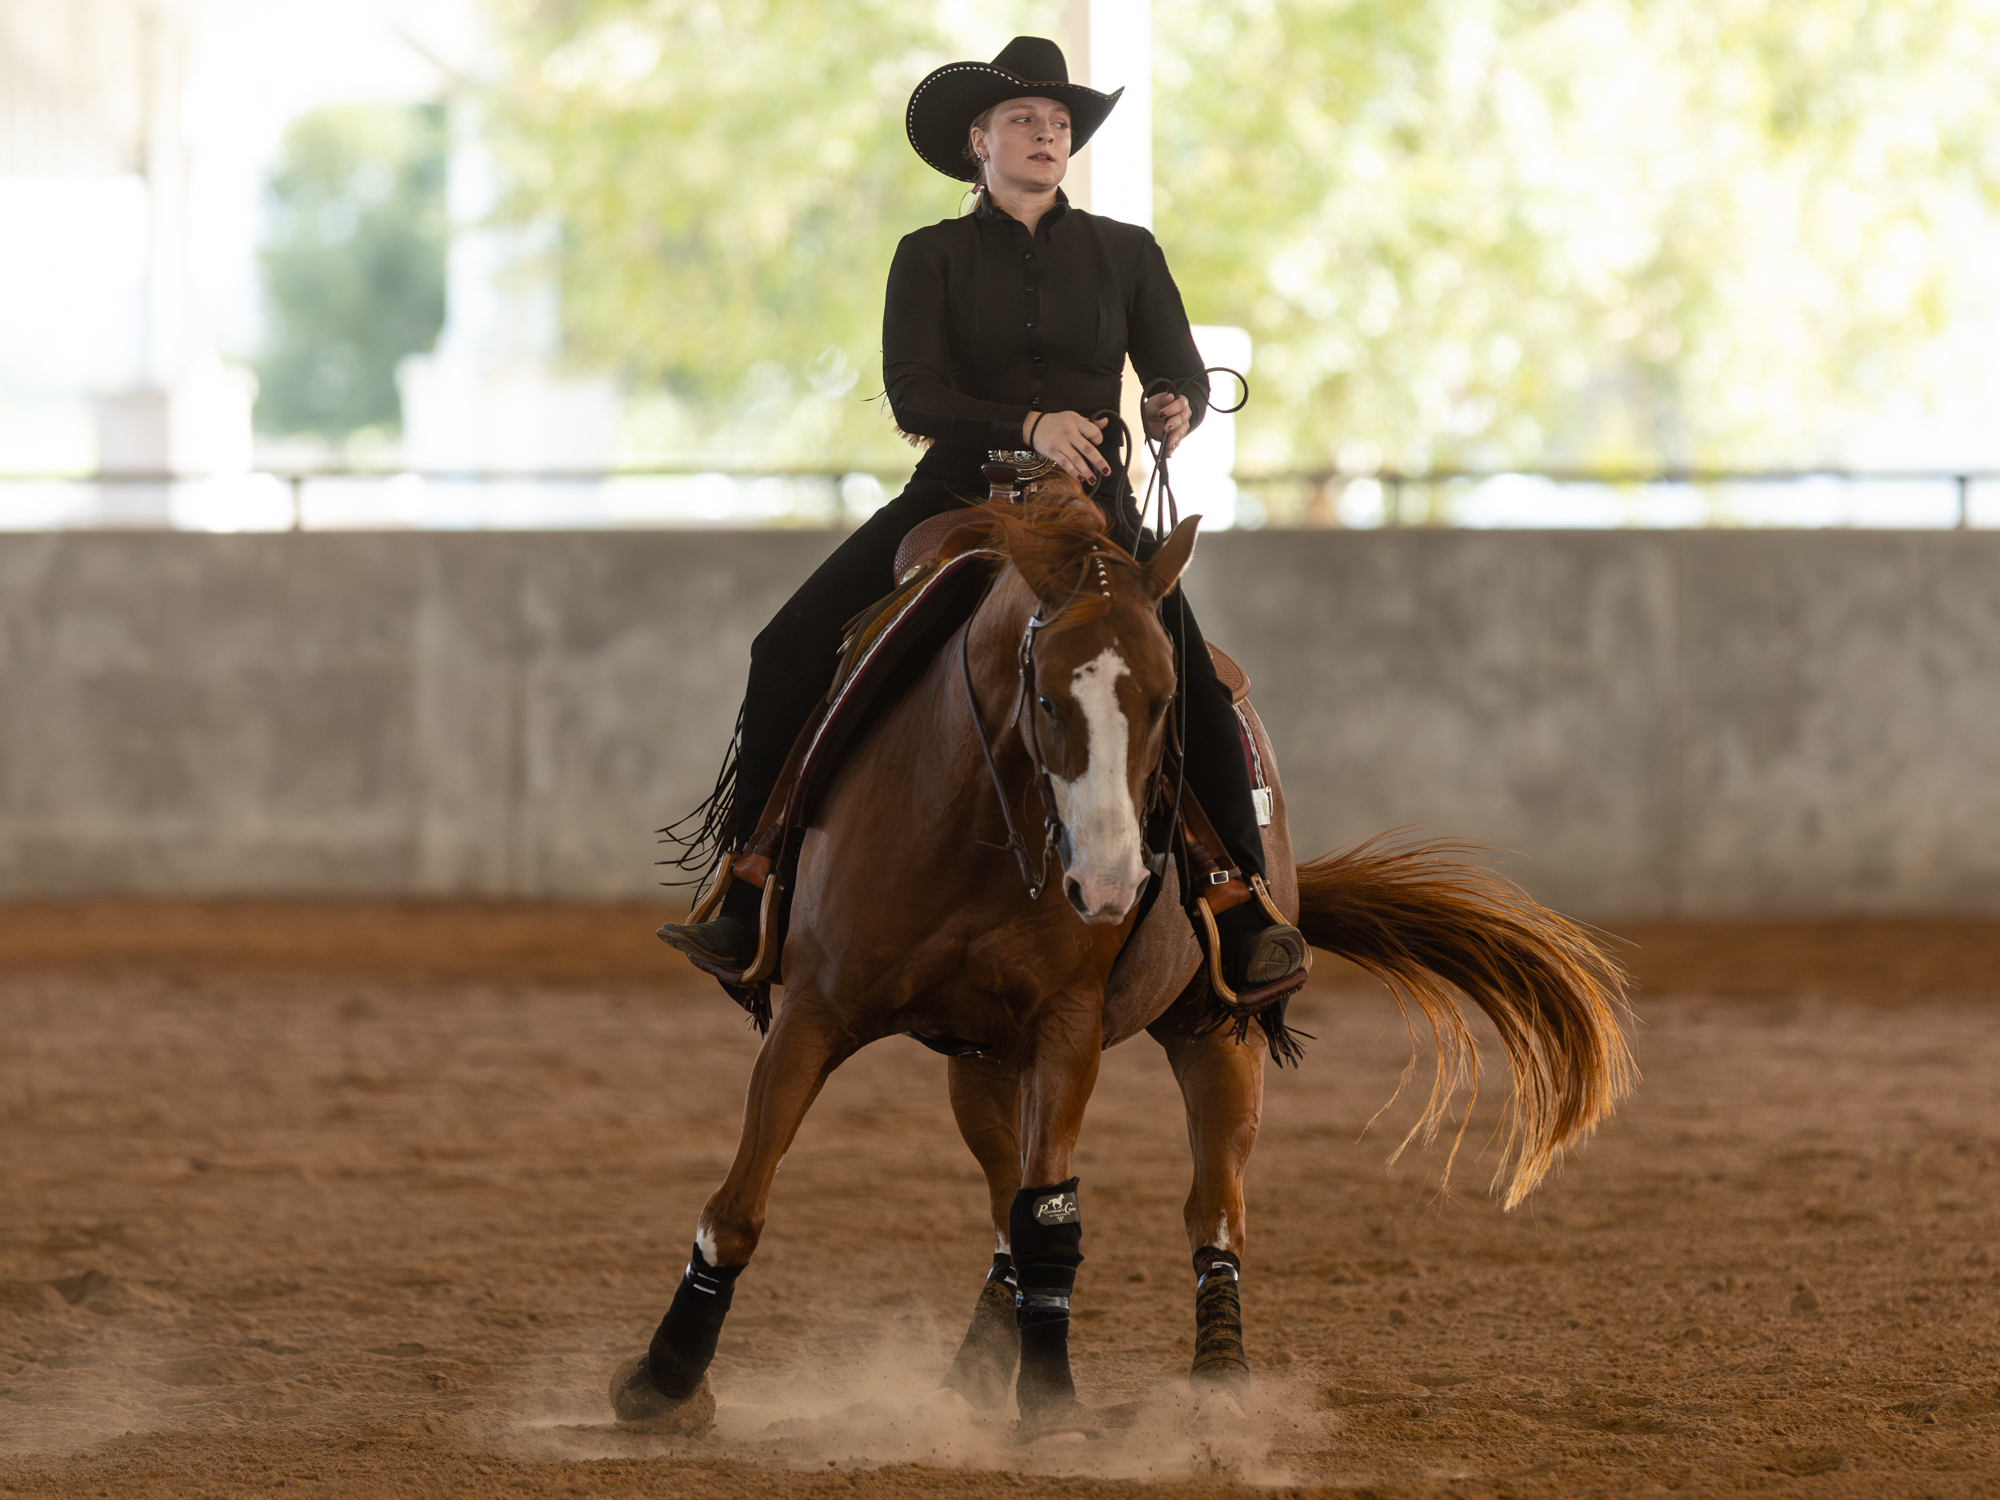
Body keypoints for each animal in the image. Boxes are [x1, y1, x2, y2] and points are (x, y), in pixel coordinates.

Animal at [608, 476, 1624, 1440]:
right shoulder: (815, 1013)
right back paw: (976, 1367)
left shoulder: (1068, 1026)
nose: (1107, 883)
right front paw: (664, 1381)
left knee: (1212, 1205)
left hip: (1216, 1036)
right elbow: (741, 1204)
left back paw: (1219, 1374)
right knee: (1003, 1205)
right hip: (981, 1065)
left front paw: (1053, 1400)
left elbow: (1053, 1220)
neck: (968, 823)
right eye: (1047, 697)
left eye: (1168, 701)